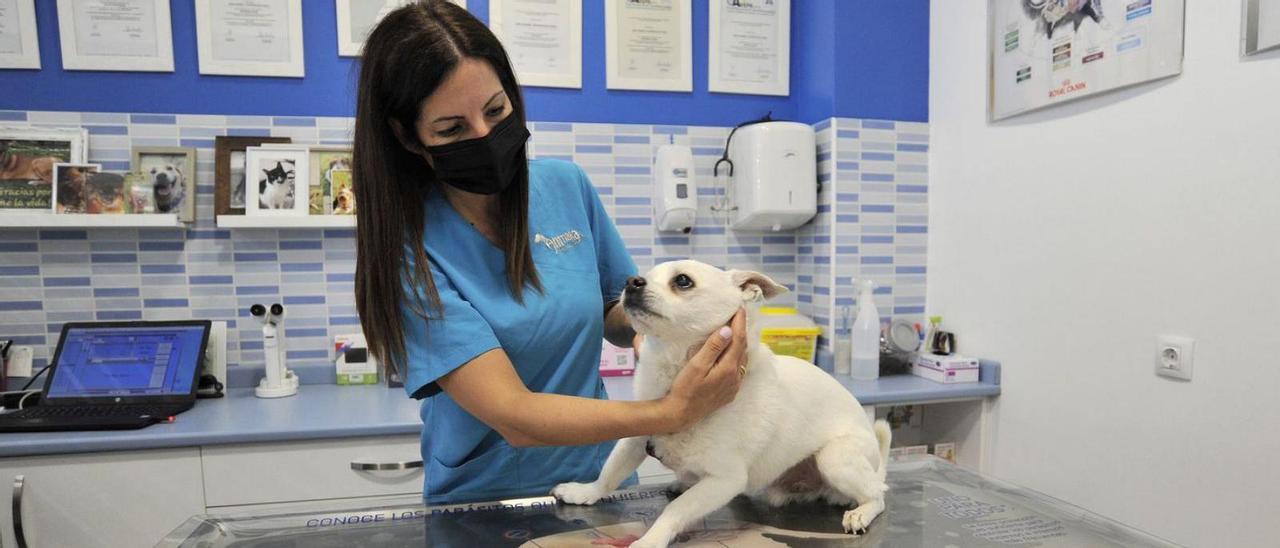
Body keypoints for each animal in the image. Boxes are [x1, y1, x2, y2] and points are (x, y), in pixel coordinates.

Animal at [550, 261, 890, 548]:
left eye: (682, 281)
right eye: (640, 275)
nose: (631, 281)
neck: (672, 372)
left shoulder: (725, 480)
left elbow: (676, 510)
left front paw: (650, 539)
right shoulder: (635, 438)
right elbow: (610, 473)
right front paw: (584, 492)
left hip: (835, 458)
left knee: (878, 495)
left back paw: (861, 511)